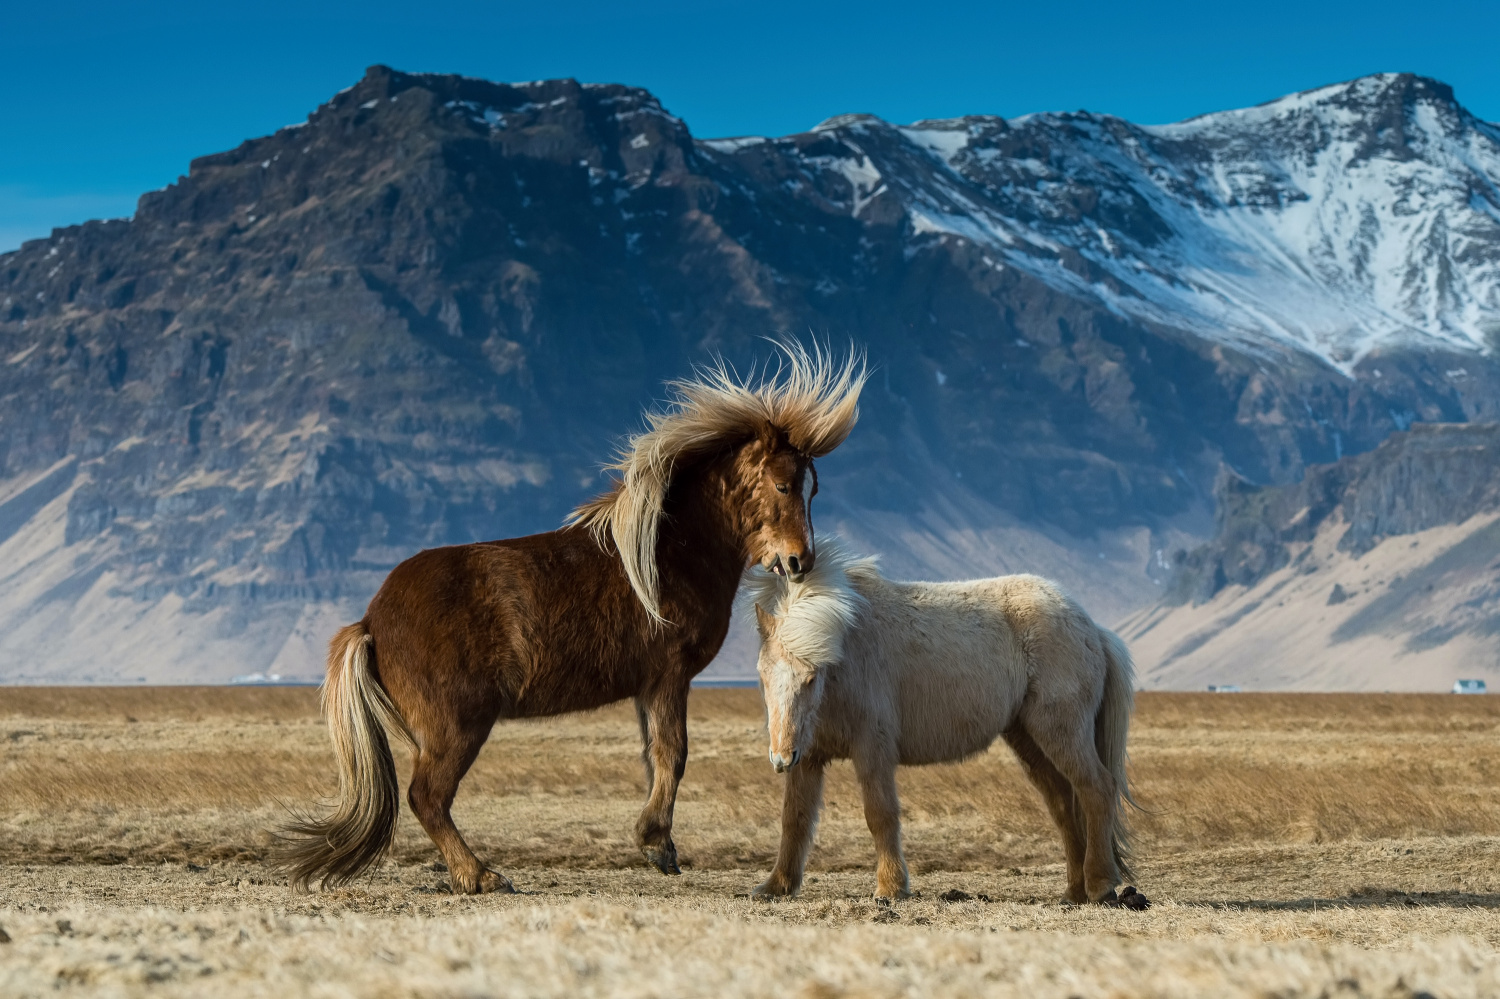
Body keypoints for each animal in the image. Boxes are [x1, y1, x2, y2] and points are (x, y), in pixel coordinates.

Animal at [279, 346, 870, 888]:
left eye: (812, 487)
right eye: (782, 484)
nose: (799, 561)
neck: (671, 553)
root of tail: (370, 621)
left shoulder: (647, 687)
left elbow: (654, 757)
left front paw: (657, 843)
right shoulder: (669, 676)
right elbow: (674, 754)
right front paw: (655, 844)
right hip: (458, 727)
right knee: (427, 796)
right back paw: (480, 875)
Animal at [744, 540, 1140, 906]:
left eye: (811, 678)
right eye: (763, 677)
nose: (781, 758)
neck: (844, 653)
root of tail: (1091, 628)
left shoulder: (872, 750)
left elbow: (880, 815)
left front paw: (890, 888)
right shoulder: (809, 758)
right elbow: (794, 819)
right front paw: (775, 887)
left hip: (1061, 731)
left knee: (1097, 790)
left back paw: (1100, 885)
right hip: (1028, 739)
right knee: (1062, 804)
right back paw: (1074, 892)